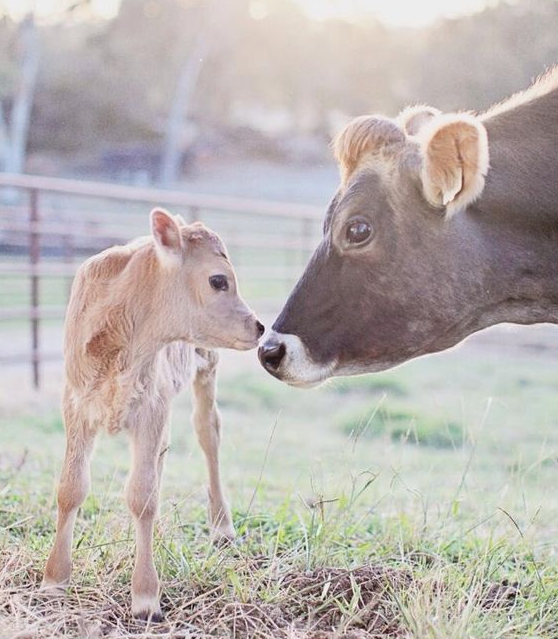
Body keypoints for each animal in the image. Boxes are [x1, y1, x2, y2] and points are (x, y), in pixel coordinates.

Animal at [41, 209, 264, 620]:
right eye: (218, 280)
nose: (258, 326)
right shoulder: (76, 404)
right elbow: (71, 488)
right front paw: (54, 580)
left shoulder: (150, 405)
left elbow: (142, 495)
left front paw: (145, 597)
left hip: (206, 363)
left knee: (208, 434)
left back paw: (222, 528)